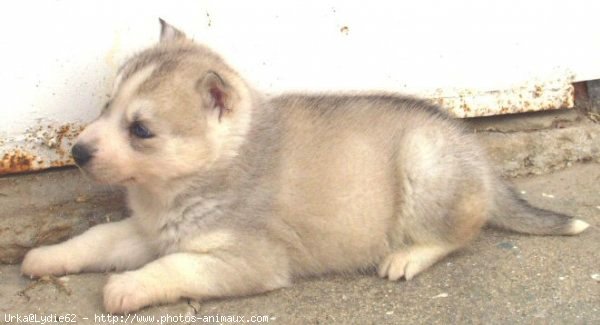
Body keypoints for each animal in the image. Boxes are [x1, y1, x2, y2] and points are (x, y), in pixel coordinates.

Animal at [21, 19, 588, 312]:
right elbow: (96, 239)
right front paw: (46, 256)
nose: (77, 152)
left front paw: (126, 287)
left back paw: (407, 256)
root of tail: (473, 150)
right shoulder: (148, 230)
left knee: (458, 234)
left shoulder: (244, 261)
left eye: (140, 130)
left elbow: (172, 267)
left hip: (424, 166)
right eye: (106, 106)